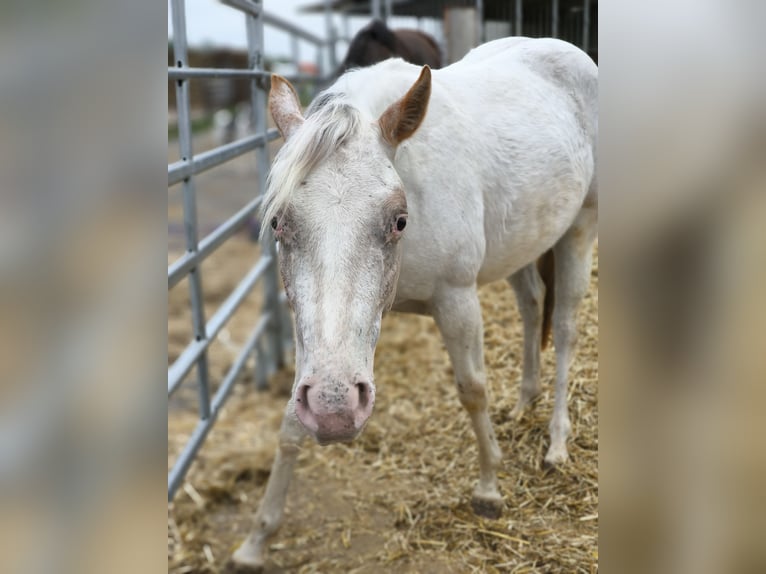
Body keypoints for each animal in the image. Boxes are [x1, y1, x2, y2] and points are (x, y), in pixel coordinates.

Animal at [234, 37, 600, 572]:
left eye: (399, 220)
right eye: (279, 221)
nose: (336, 410)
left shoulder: (457, 300)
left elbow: (472, 389)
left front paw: (489, 489)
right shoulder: (316, 343)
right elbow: (288, 422)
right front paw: (255, 541)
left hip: (578, 230)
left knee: (568, 329)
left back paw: (556, 442)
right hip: (524, 243)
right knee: (534, 307)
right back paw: (522, 404)